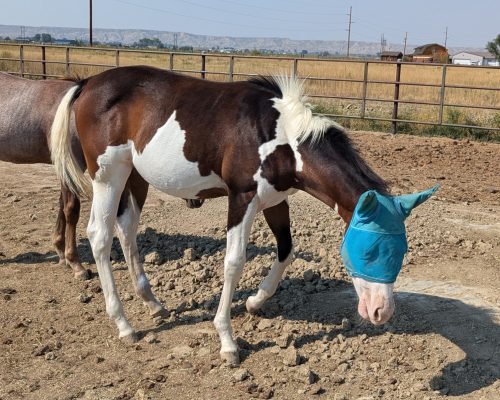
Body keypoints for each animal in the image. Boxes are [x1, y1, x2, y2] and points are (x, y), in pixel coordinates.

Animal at [48, 66, 436, 366]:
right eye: (368, 251)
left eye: (402, 251)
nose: (381, 312)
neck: (281, 137)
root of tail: (87, 83)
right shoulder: (242, 199)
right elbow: (234, 262)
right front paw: (227, 341)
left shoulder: (275, 201)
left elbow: (286, 251)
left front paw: (254, 301)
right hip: (108, 176)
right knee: (100, 236)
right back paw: (124, 325)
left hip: (134, 177)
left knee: (126, 230)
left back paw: (153, 303)